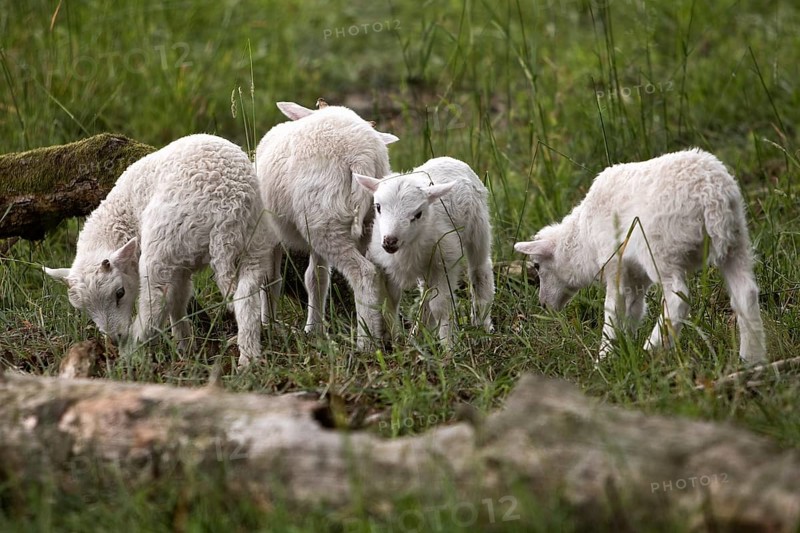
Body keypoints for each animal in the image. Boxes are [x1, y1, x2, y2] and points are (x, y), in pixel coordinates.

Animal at [44, 134, 277, 367]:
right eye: (83, 309)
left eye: (120, 293)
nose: (115, 338)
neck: (124, 216)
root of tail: (226, 213)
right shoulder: (182, 264)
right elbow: (179, 300)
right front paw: (185, 346)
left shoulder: (172, 259)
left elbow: (171, 300)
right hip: (253, 242)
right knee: (246, 298)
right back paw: (249, 358)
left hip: (163, 245)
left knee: (154, 302)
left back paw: (131, 357)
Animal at [255, 101, 398, 348]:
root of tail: (360, 157)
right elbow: (316, 278)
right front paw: (314, 330)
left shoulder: (271, 233)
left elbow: (270, 279)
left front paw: (269, 325)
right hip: (359, 222)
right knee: (381, 272)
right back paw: (390, 333)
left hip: (326, 219)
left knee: (364, 274)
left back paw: (366, 343)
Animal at [354, 156, 495, 343]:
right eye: (378, 207)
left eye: (418, 214)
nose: (389, 241)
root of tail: (450, 159)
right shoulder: (385, 265)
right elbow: (390, 300)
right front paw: (395, 339)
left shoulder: (444, 262)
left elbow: (440, 306)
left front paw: (448, 345)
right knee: (426, 293)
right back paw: (419, 334)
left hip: (478, 227)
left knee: (480, 270)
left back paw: (483, 327)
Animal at [514, 148, 766, 363]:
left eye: (537, 266)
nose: (543, 305)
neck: (582, 240)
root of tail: (712, 196)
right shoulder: (635, 276)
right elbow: (633, 310)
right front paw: (623, 348)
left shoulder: (615, 264)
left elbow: (613, 310)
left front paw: (604, 359)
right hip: (736, 241)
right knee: (745, 293)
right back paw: (751, 360)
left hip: (661, 251)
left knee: (678, 298)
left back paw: (651, 350)